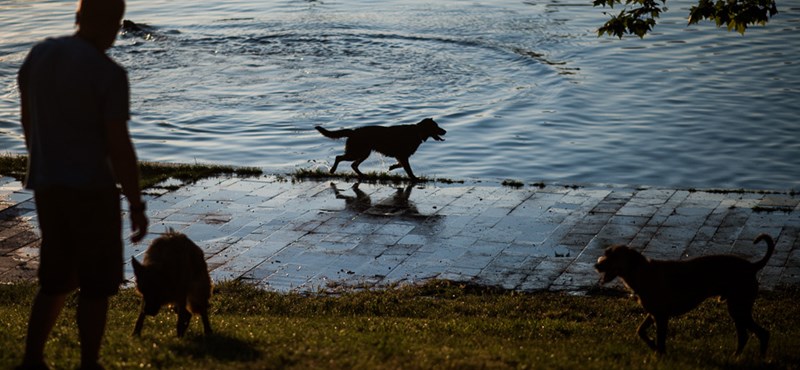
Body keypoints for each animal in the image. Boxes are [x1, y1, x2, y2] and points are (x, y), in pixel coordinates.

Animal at [316, 118, 446, 181]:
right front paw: (414, 178)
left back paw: (362, 175)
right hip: (357, 152)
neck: (417, 132)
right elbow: (408, 169)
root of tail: (353, 132)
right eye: (436, 126)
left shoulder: (401, 156)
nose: (445, 131)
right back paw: (332, 170)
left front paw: (392, 167)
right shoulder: (403, 155)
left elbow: (400, 165)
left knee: (353, 165)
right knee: (339, 157)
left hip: (364, 153)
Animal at [592, 233, 776, 356]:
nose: (596, 266)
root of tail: (752, 266)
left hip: (738, 308)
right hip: (737, 309)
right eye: (606, 253)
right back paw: (736, 358)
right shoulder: (654, 313)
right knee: (745, 336)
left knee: (762, 334)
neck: (641, 272)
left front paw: (659, 355)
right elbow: (640, 331)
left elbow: (660, 340)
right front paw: (652, 346)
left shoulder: (661, 316)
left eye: (613, 256)